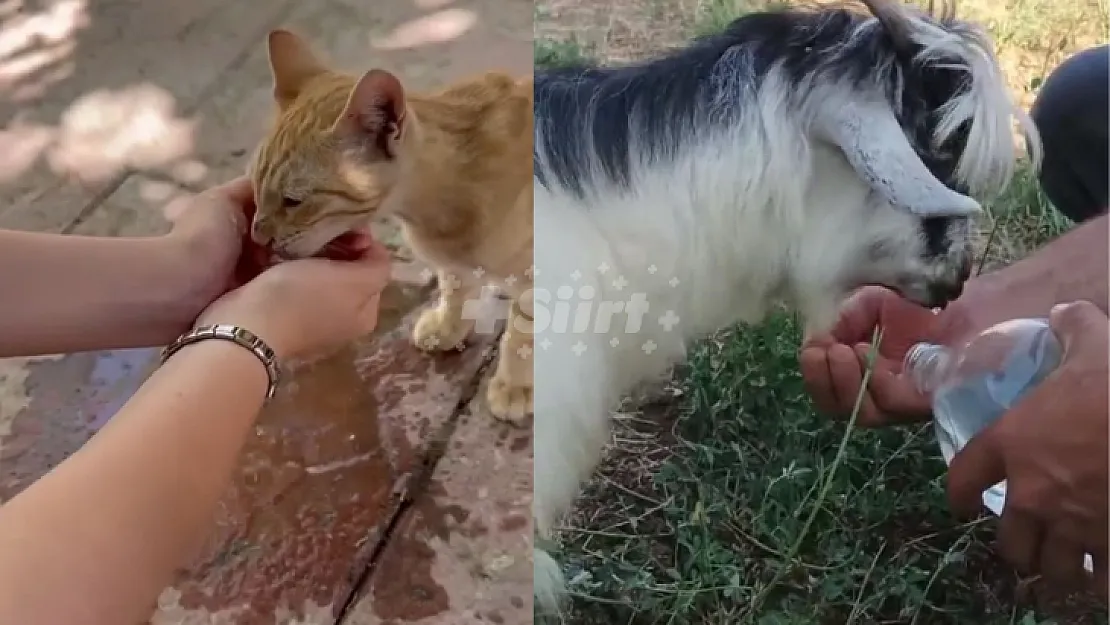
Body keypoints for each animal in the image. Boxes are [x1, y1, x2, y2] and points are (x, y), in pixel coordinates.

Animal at [249, 29, 535, 426]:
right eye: (255, 186)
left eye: (294, 200)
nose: (257, 235)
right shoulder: (452, 263)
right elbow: (454, 286)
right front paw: (448, 325)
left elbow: (521, 333)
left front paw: (513, 385)